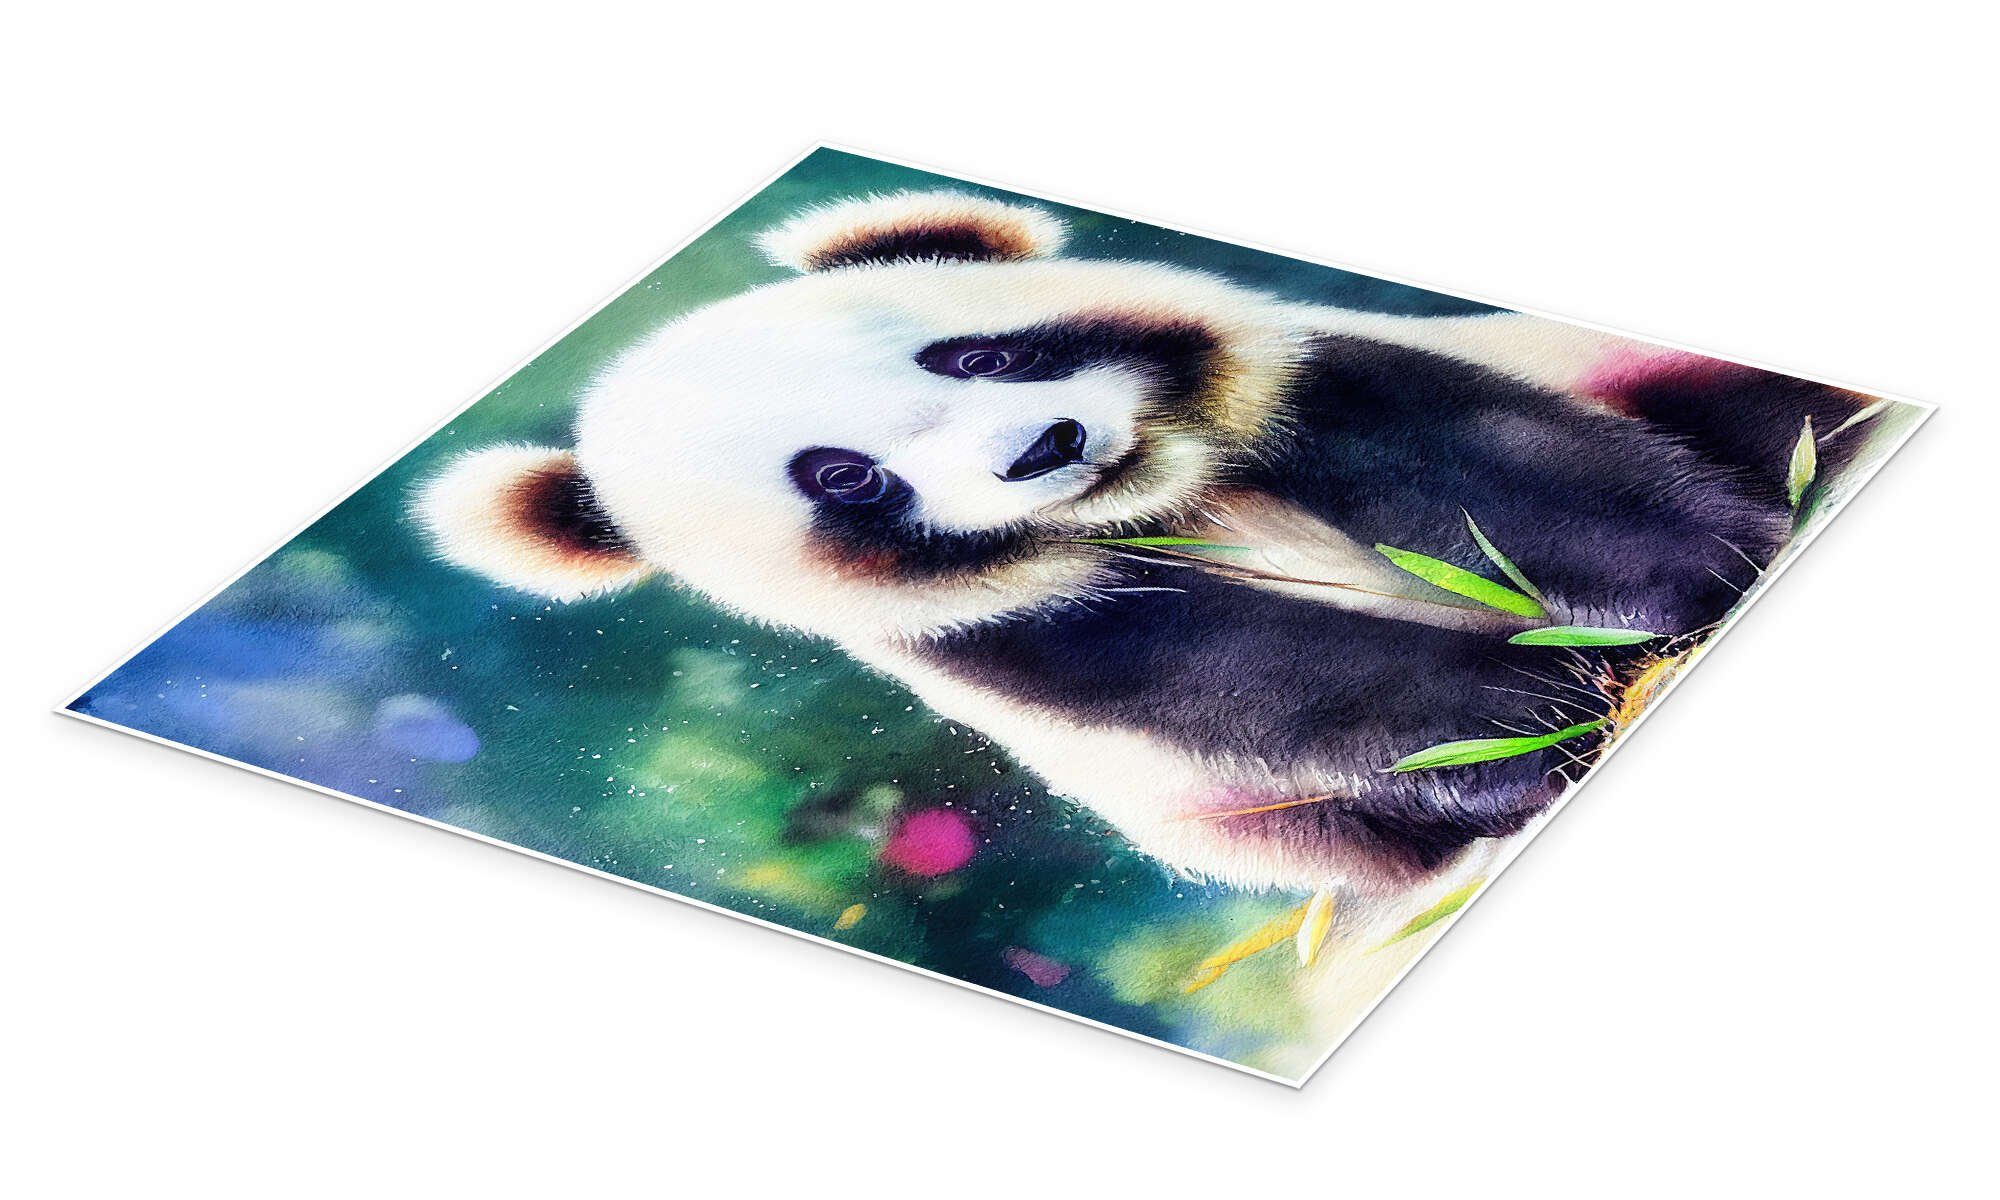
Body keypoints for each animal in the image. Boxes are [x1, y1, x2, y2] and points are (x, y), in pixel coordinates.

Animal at [416, 190, 1868, 900]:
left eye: (977, 354)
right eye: (844, 478)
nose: (1044, 449)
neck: (1172, 504)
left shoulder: (1314, 385)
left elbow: (1482, 471)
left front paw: (1647, 598)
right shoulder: (1021, 636)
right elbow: (1257, 682)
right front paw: (1533, 718)